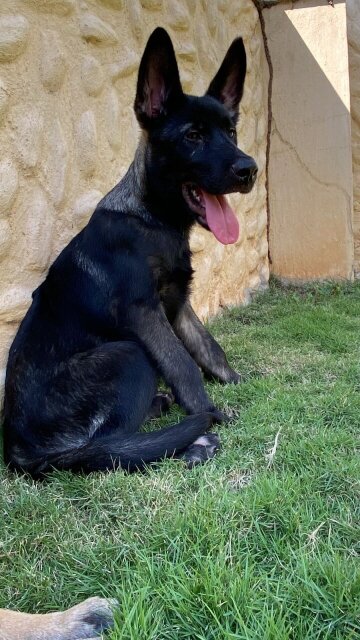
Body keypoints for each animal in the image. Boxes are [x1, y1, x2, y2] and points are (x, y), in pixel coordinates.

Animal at [2, 27, 258, 476]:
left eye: (231, 132)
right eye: (193, 136)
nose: (250, 170)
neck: (154, 219)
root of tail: (20, 450)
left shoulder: (179, 304)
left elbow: (207, 347)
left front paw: (233, 380)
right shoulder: (145, 312)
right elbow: (183, 365)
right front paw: (211, 413)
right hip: (129, 354)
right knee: (105, 449)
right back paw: (191, 440)